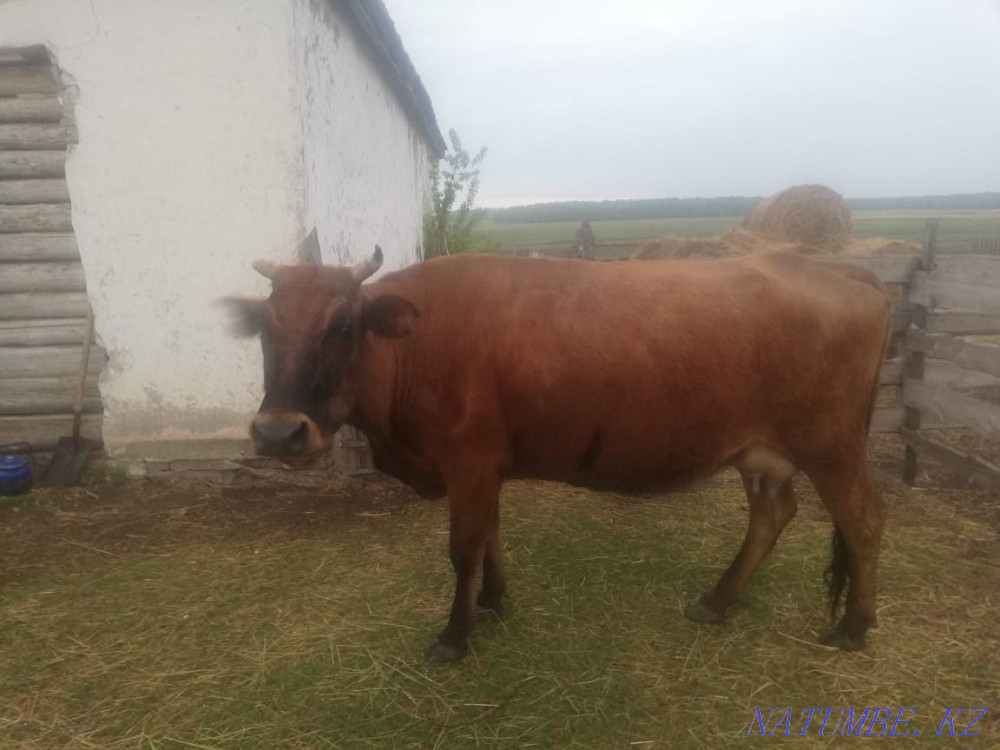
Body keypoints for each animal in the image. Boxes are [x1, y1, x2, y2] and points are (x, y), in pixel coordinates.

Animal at [224, 247, 892, 663]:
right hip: (762, 451)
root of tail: (843, 272)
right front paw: (492, 602)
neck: (420, 341)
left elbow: (463, 549)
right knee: (771, 516)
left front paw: (455, 634)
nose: (278, 434)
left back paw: (853, 627)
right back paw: (717, 600)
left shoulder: (468, 462)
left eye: (343, 326)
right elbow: (490, 536)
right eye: (265, 327)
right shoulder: (486, 466)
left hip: (831, 445)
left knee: (862, 520)